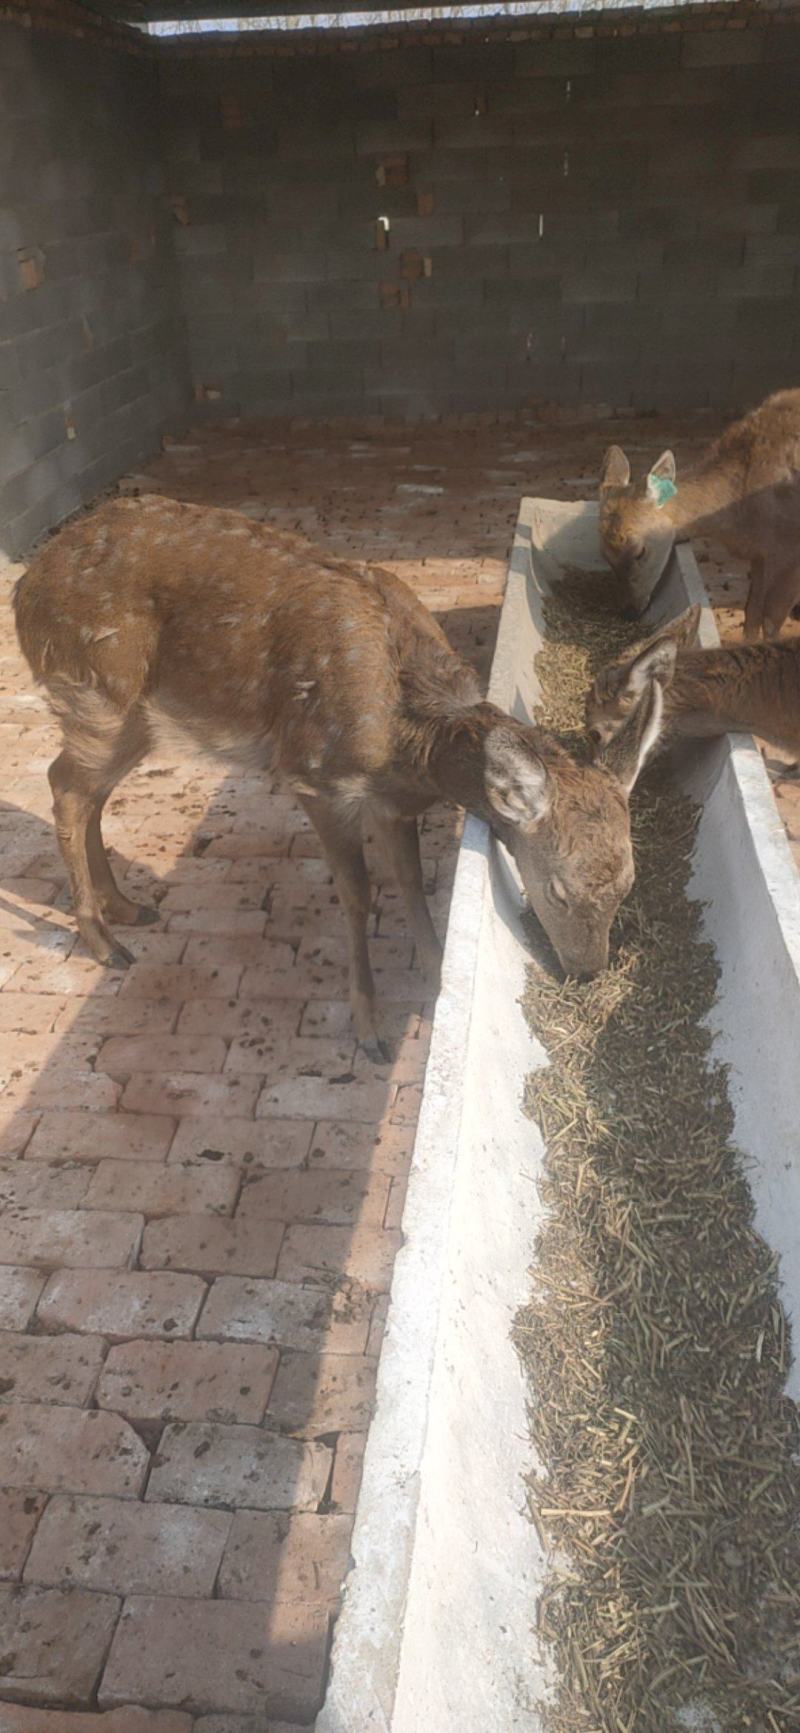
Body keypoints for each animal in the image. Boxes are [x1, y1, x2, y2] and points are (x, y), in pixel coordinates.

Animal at [13, 495, 666, 1059]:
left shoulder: (392, 803)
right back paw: (104, 941)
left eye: (629, 883)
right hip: (96, 693)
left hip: (132, 719)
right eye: (557, 890)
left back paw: (126, 907)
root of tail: (26, 587)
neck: (409, 742)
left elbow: (410, 882)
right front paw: (369, 1028)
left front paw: (436, 975)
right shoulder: (317, 779)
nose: (587, 970)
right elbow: (358, 895)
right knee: (65, 788)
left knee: (85, 792)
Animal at [598, 388, 800, 640]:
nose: (629, 612)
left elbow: (771, 623)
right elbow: (751, 614)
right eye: (605, 556)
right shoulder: (760, 555)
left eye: (640, 551)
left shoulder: (789, 552)